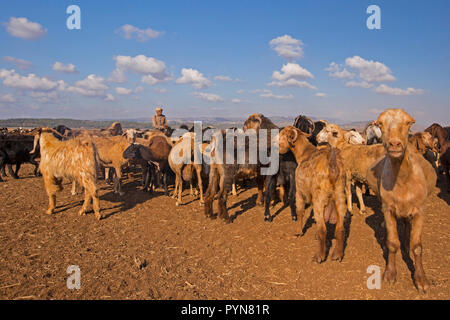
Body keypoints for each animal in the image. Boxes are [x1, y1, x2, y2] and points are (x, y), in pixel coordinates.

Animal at [366, 109, 436, 292]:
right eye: (380, 123)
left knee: (406, 224)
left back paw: (405, 244)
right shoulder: (388, 208)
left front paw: (421, 280)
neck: (403, 180)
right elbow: (392, 243)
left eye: (408, 123)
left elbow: (417, 247)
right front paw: (390, 274)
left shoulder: (419, 210)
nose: (395, 144)